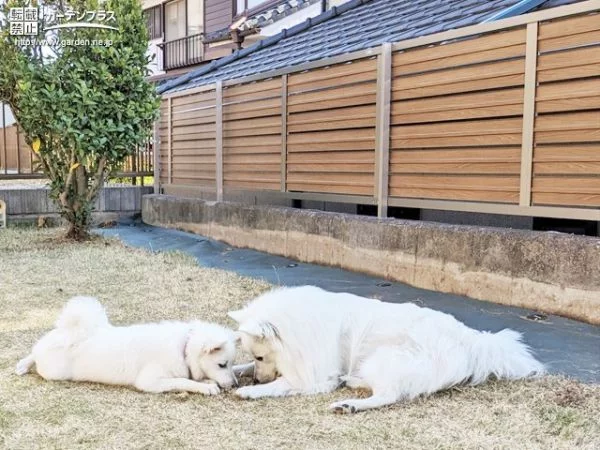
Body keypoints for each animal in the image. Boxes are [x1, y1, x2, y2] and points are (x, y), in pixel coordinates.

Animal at [15, 298, 239, 396]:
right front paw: (206, 387)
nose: (236, 385)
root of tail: (70, 331)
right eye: (222, 364)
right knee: (35, 354)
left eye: (230, 364)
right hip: (54, 372)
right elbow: (183, 381)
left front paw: (209, 382)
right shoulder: (150, 382)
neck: (183, 348)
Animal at [227, 286, 548, 414]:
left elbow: (284, 383)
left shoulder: (315, 377)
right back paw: (352, 384)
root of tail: (473, 341)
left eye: (261, 355)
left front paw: (251, 390)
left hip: (381, 359)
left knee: (390, 395)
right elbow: (241, 368)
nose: (257, 379)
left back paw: (350, 404)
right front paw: (235, 373)